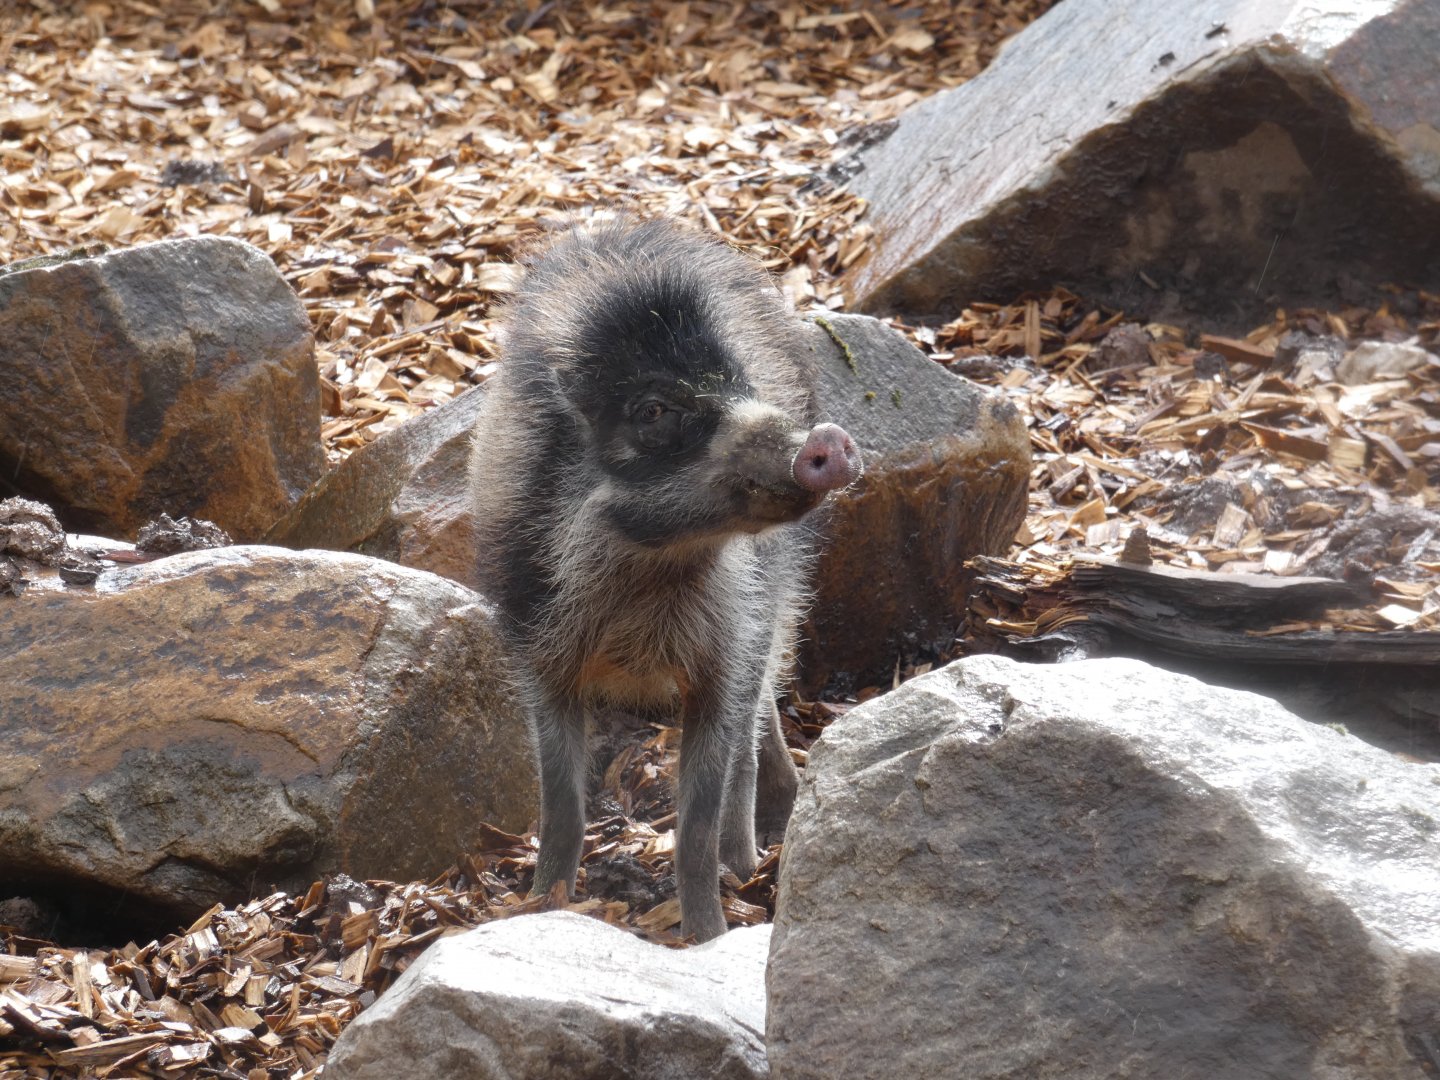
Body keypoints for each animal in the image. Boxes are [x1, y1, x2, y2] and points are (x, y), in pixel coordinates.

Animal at [467, 217, 861, 941]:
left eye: (736, 378)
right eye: (650, 411)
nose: (825, 441)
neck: (657, 572)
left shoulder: (726, 651)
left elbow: (698, 817)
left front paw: (709, 937)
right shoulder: (540, 657)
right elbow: (560, 801)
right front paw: (542, 904)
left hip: (776, 602)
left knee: (754, 727)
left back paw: (751, 863)